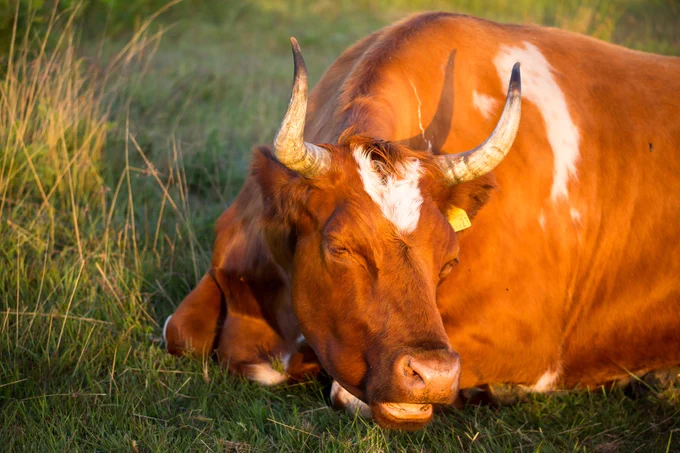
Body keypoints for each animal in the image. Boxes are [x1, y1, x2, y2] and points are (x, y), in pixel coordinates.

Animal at [163, 12, 680, 430]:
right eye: (340, 247)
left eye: (450, 260)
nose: (434, 376)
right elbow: (178, 332)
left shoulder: (531, 344)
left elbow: (347, 393)